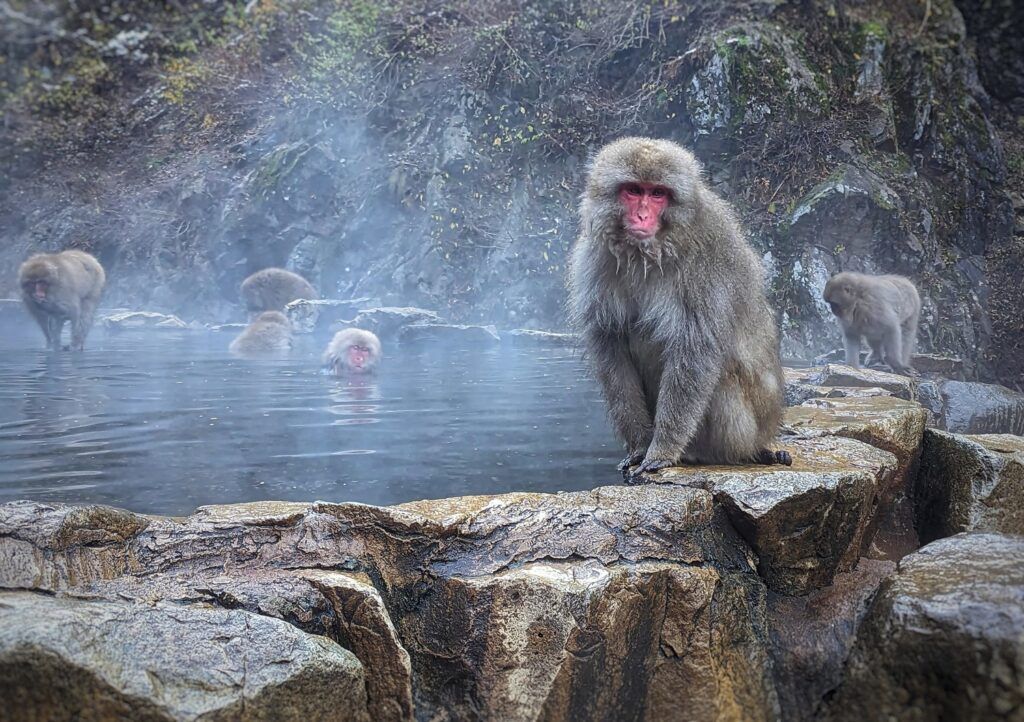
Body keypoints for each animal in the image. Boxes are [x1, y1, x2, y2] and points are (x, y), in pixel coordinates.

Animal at [567, 137, 791, 477]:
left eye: (658, 194)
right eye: (634, 190)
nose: (642, 217)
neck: (651, 252)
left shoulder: (708, 263)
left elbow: (696, 350)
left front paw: (662, 449)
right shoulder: (594, 258)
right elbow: (611, 348)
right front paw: (640, 447)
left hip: (742, 432)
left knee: (718, 373)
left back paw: (701, 453)